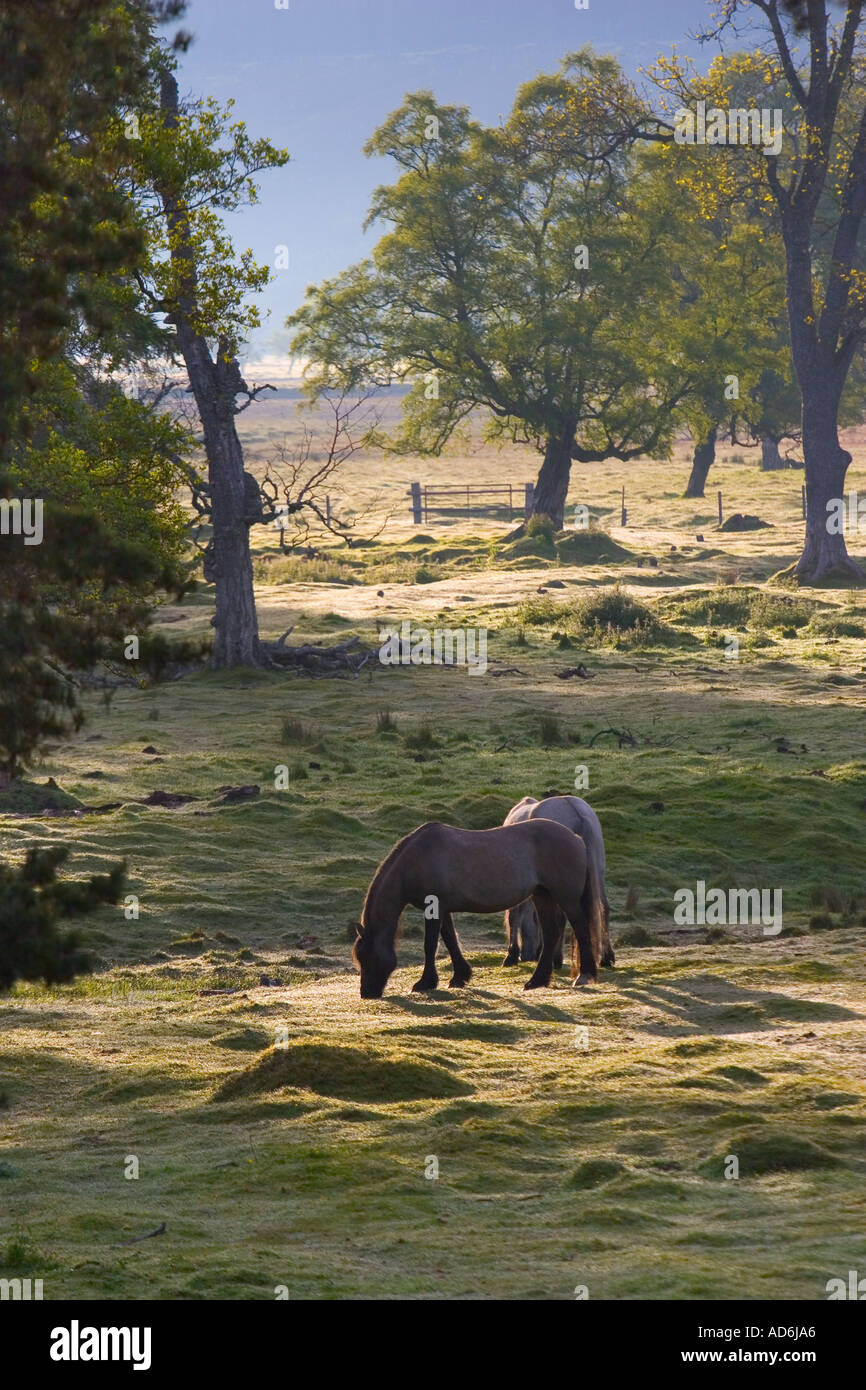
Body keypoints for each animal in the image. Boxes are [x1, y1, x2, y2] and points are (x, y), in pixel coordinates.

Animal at [352, 819, 605, 999]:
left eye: (368, 956)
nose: (367, 994)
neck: (417, 859)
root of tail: (576, 837)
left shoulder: (434, 908)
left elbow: (430, 945)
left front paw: (425, 982)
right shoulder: (443, 909)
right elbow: (450, 940)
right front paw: (459, 977)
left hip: (566, 898)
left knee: (581, 929)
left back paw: (584, 975)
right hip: (542, 895)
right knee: (552, 933)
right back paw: (536, 981)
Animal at [502, 795, 615, 971]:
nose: (527, 956)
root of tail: (574, 808)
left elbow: (515, 916)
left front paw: (512, 954)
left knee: (561, 917)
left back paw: (556, 958)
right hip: (597, 874)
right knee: (603, 907)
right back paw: (606, 957)